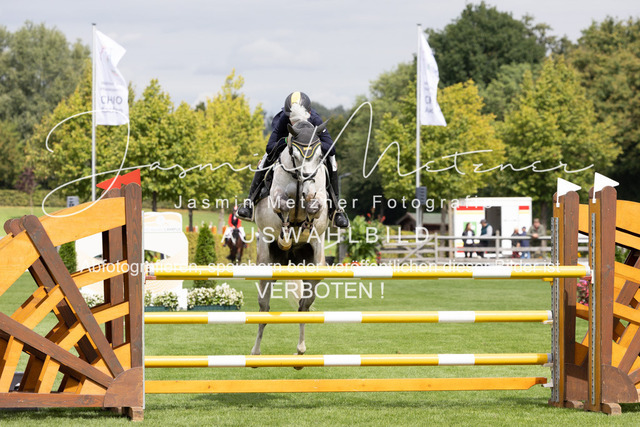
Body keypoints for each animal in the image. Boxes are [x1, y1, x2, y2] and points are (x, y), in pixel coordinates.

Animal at [251, 119, 329, 357]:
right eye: (294, 153)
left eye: (319, 155)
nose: (308, 192)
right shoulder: (275, 199)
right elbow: (283, 204)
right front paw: (286, 233)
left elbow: (316, 208)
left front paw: (308, 216)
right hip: (266, 263)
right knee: (264, 308)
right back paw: (255, 352)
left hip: (315, 264)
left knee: (304, 305)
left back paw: (300, 350)